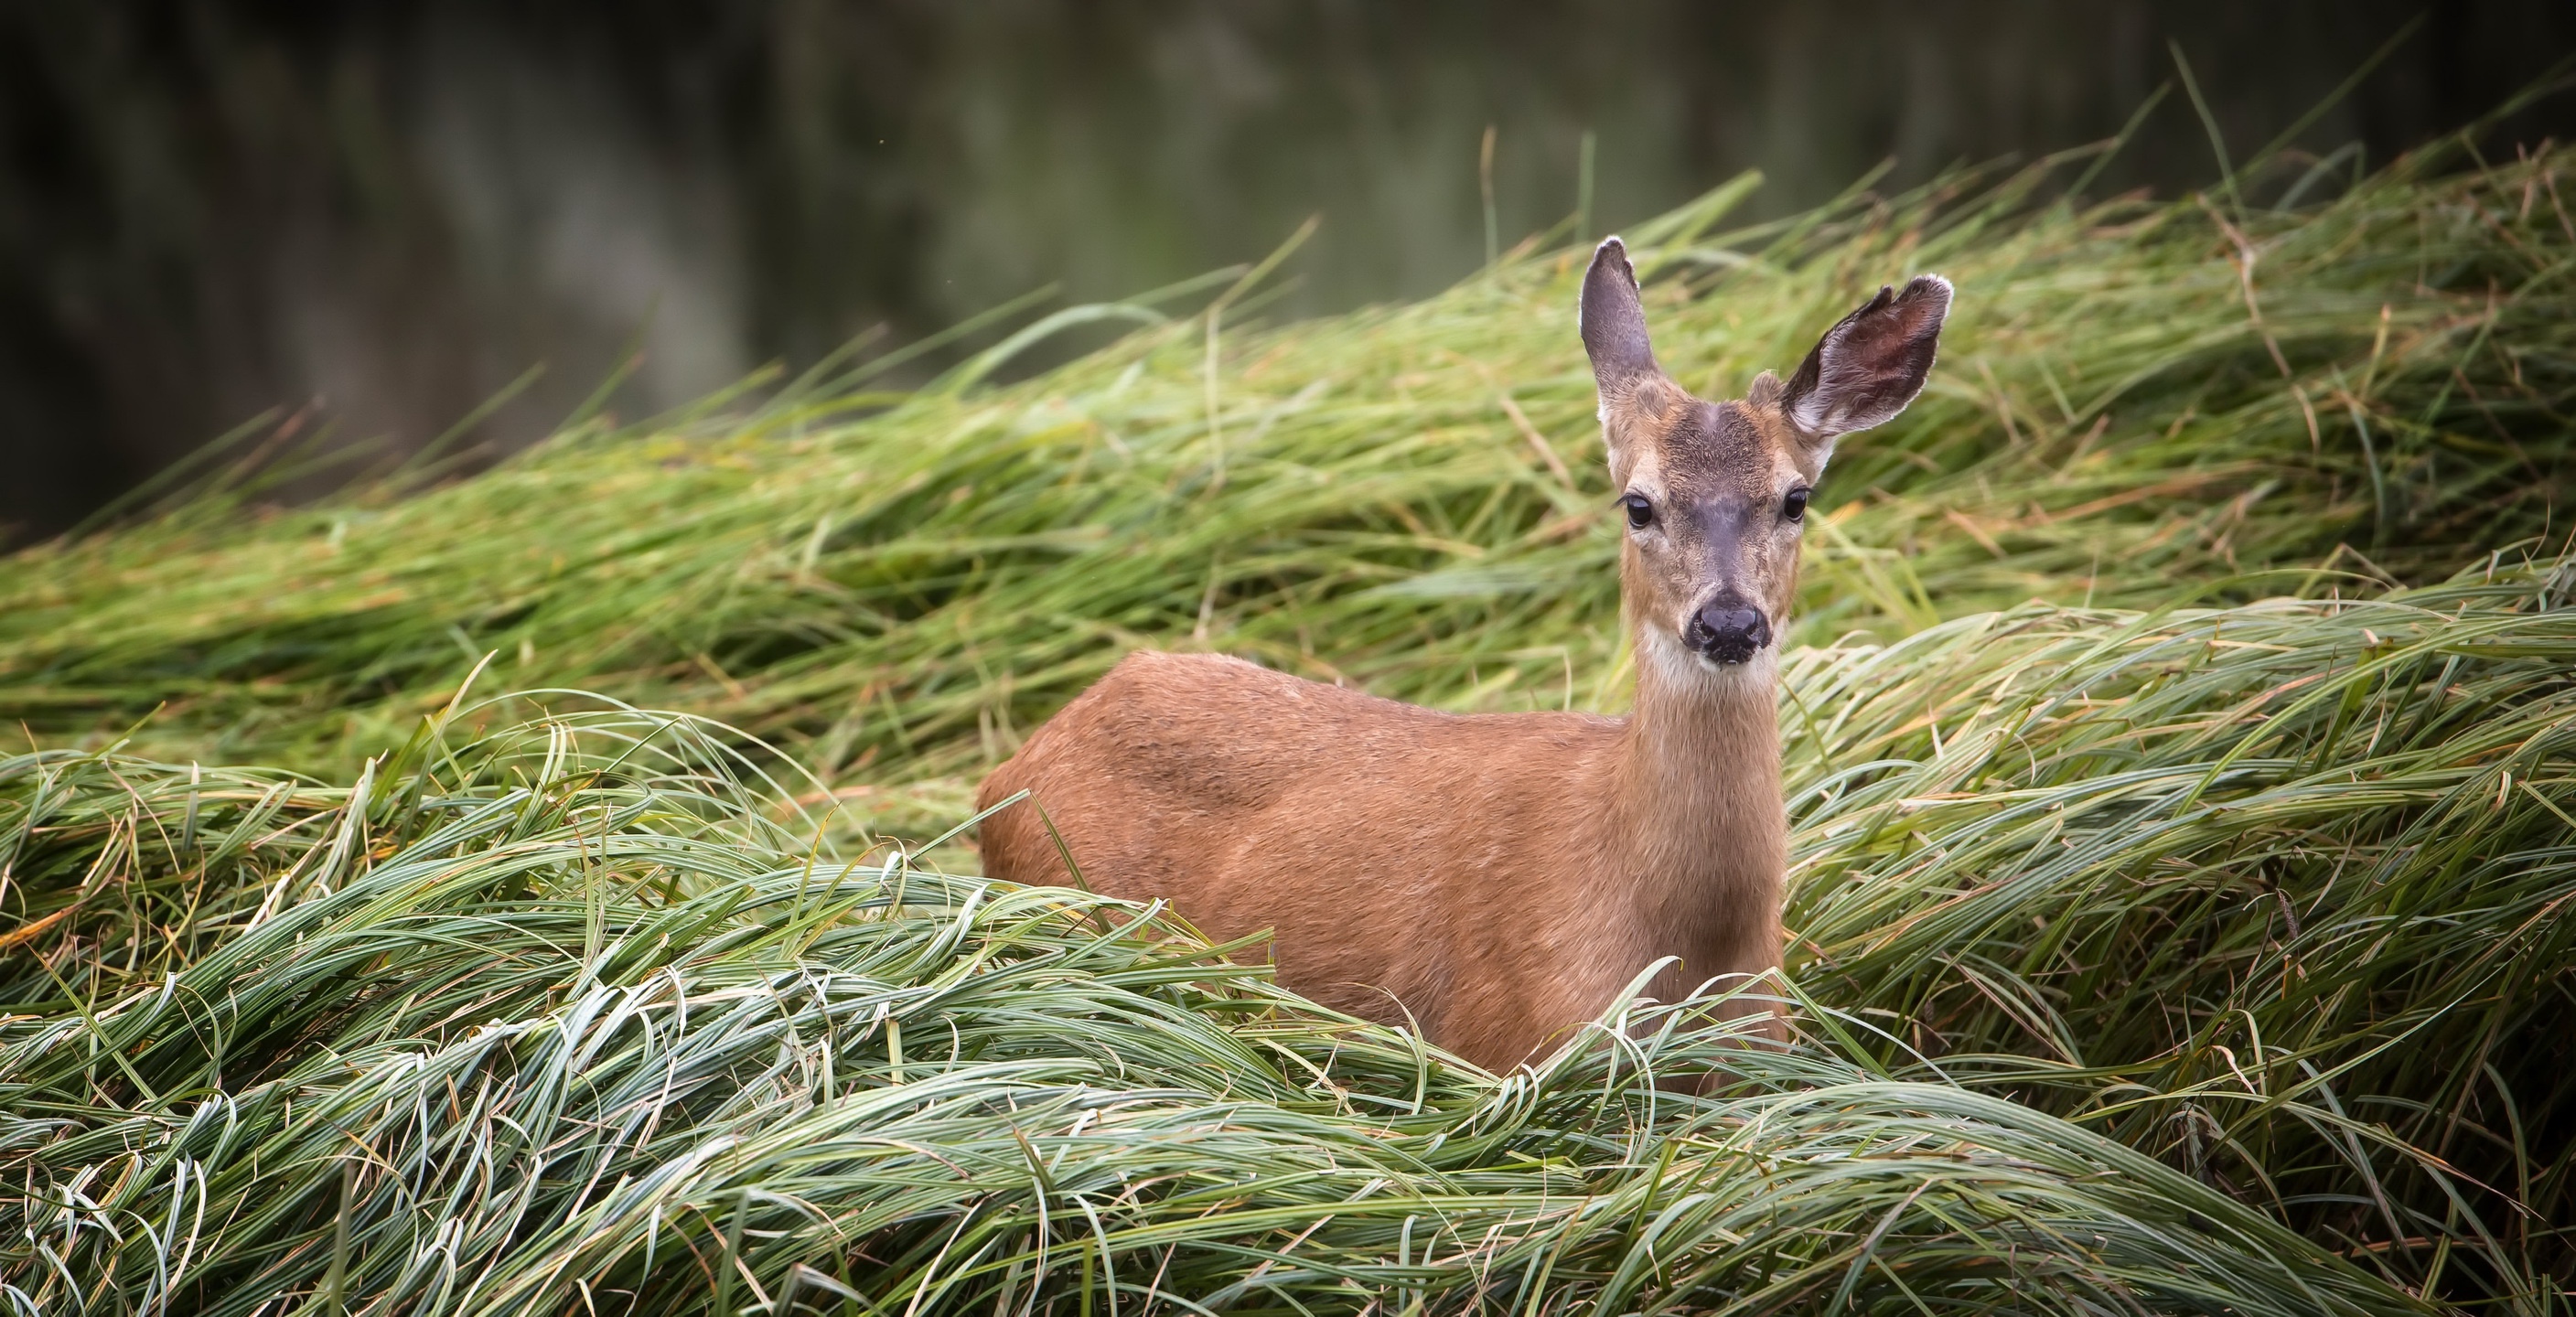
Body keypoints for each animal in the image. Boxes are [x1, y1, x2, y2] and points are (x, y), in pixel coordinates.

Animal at [973, 240, 1937, 1072]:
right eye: (1638, 504)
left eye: (1796, 498)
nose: (1729, 623)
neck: (1682, 944)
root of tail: (1010, 770)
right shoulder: (1509, 1038)